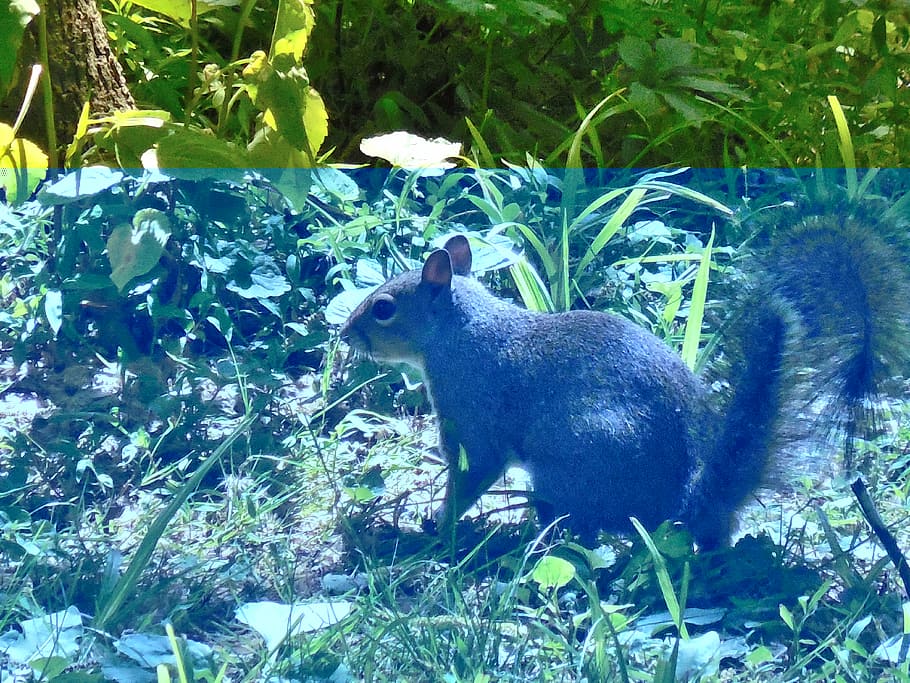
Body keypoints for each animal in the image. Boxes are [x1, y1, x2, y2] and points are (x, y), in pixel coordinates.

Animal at [340, 212, 910, 549]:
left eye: (384, 309)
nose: (345, 334)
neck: (459, 332)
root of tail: (687, 501)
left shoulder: (472, 414)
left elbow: (471, 471)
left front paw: (438, 526)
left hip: (578, 458)